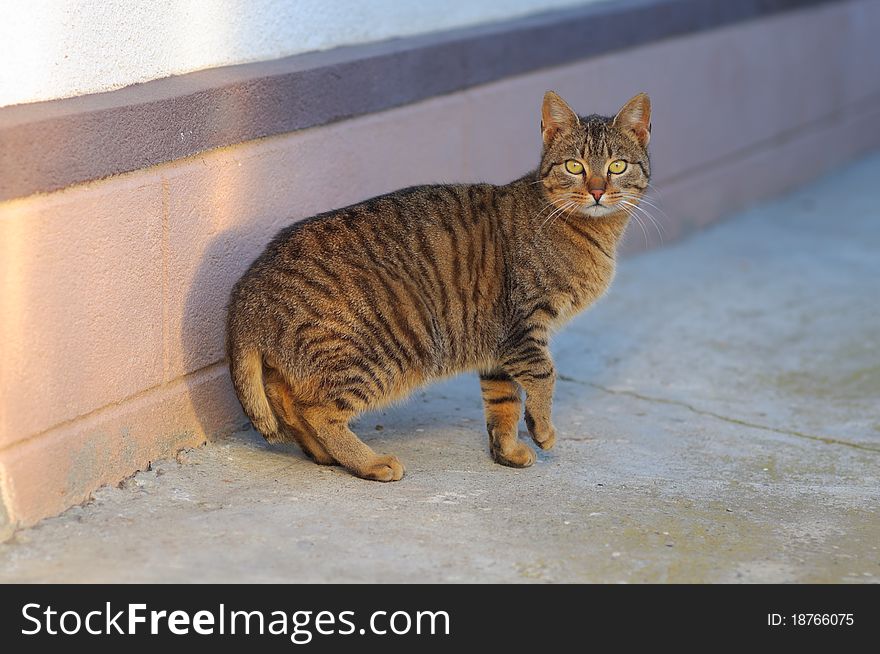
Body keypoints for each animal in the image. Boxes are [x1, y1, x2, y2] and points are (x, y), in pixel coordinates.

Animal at [227, 91, 652, 482]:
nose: (597, 190)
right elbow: (543, 376)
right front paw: (543, 430)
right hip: (379, 353)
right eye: (573, 166)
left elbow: (503, 402)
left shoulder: (498, 346)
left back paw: (322, 454)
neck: (591, 231)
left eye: (617, 166)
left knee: (288, 403)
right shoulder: (523, 327)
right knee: (317, 411)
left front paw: (507, 449)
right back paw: (368, 462)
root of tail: (248, 289)